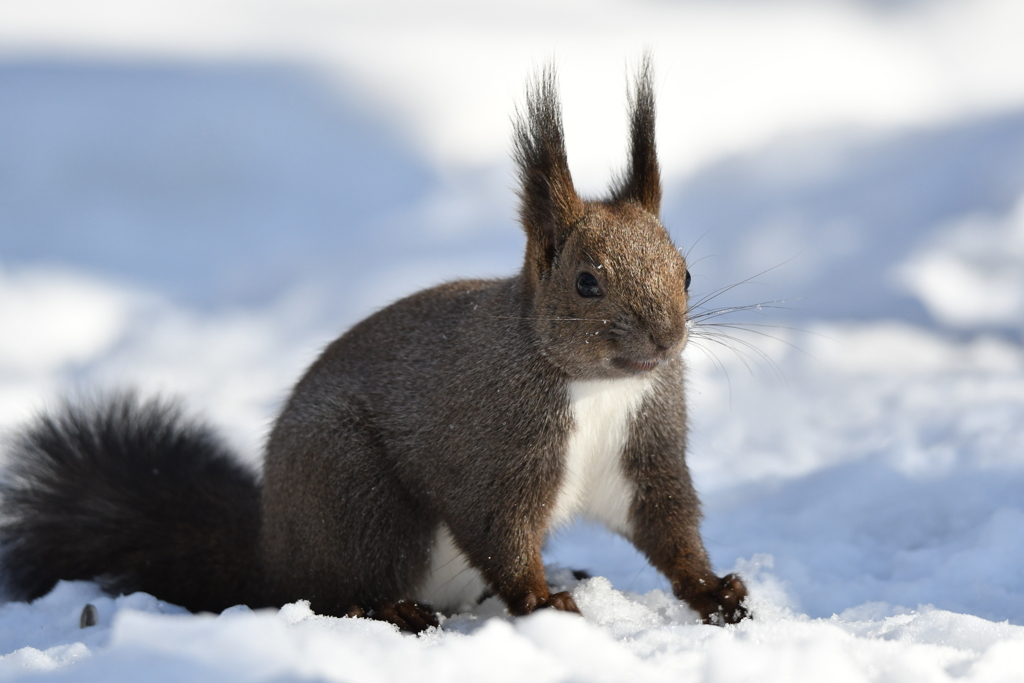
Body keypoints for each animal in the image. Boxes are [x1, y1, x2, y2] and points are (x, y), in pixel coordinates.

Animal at [2, 61, 753, 634]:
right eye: (587, 281)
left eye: (686, 272)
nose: (666, 340)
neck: (597, 387)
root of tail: (275, 552)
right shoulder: (495, 449)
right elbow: (499, 529)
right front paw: (542, 601)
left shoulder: (643, 449)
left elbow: (667, 522)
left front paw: (715, 590)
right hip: (358, 494)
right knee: (344, 591)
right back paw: (397, 610)